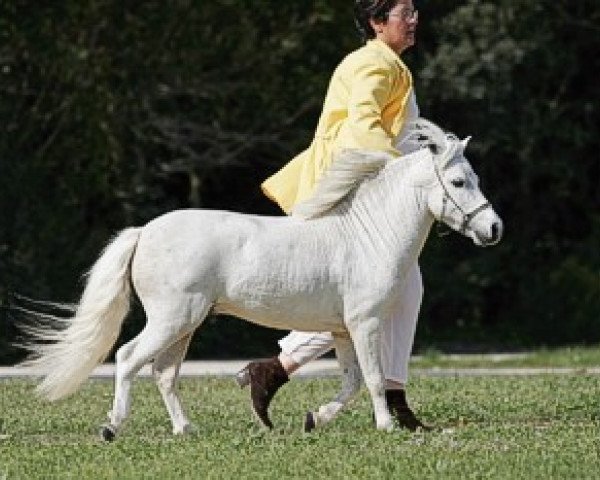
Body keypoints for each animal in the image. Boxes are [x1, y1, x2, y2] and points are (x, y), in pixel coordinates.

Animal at [19, 119, 502, 438]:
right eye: (459, 182)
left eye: (476, 177)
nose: (494, 228)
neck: (366, 235)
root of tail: (145, 232)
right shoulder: (365, 322)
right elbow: (374, 378)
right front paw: (386, 427)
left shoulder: (341, 329)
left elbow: (350, 381)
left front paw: (314, 419)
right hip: (172, 319)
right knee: (127, 357)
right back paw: (113, 426)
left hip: (185, 324)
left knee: (163, 373)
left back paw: (185, 429)